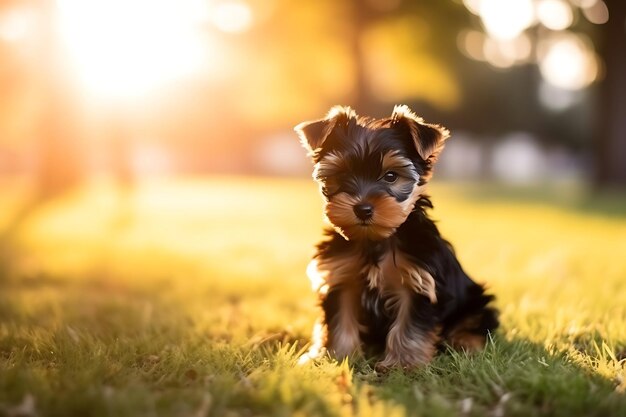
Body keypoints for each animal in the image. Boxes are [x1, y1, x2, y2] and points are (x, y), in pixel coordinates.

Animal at [294, 104, 498, 368]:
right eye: (342, 174)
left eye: (391, 176)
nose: (363, 208)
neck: (376, 240)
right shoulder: (341, 277)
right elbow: (340, 320)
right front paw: (336, 356)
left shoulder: (418, 281)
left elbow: (409, 326)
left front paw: (403, 365)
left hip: (475, 299)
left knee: (476, 321)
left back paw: (465, 343)